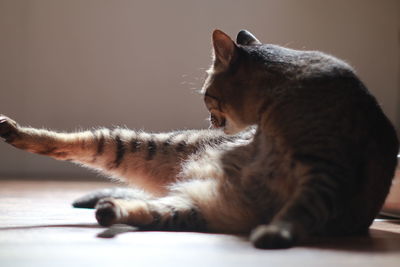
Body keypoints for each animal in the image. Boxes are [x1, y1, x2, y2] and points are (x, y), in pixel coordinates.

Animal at [0, 29, 400, 249]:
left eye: (207, 94)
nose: (210, 120)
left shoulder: (327, 169)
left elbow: (301, 207)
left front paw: (277, 232)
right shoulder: (325, 168)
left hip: (190, 207)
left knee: (147, 208)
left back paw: (111, 208)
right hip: (150, 147)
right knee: (83, 142)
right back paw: (13, 131)